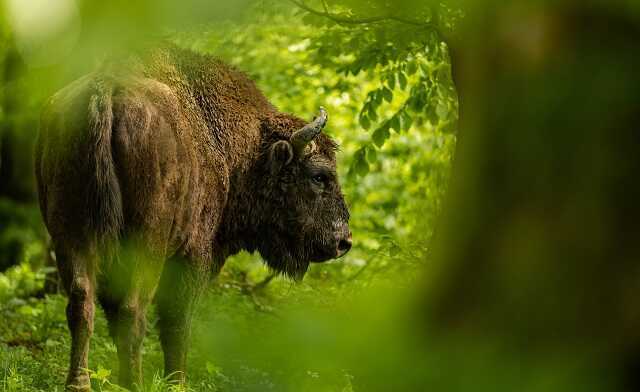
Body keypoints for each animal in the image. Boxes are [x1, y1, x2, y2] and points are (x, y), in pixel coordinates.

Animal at [35, 45, 352, 388]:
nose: (343, 241)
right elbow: (178, 323)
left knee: (82, 302)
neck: (243, 152)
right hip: (147, 244)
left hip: (71, 235)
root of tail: (105, 90)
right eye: (319, 176)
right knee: (134, 310)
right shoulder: (194, 256)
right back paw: (133, 384)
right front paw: (178, 383)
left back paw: (80, 383)